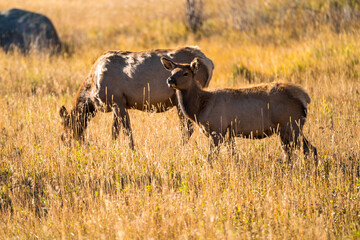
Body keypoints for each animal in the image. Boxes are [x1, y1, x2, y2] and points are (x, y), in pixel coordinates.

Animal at [59, 46, 214, 148]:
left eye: (64, 131)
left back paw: (178, 148)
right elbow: (114, 132)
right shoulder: (119, 103)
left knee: (188, 128)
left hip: (181, 98)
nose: (66, 143)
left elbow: (127, 131)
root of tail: (209, 63)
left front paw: (132, 150)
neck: (91, 94)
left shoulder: (117, 101)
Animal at [161, 56, 318, 165]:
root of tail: (305, 98)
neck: (200, 108)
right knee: (293, 152)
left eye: (186, 73)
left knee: (309, 149)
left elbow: (211, 158)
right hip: (287, 128)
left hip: (291, 125)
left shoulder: (217, 130)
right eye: (173, 71)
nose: (170, 80)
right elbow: (234, 156)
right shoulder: (228, 133)